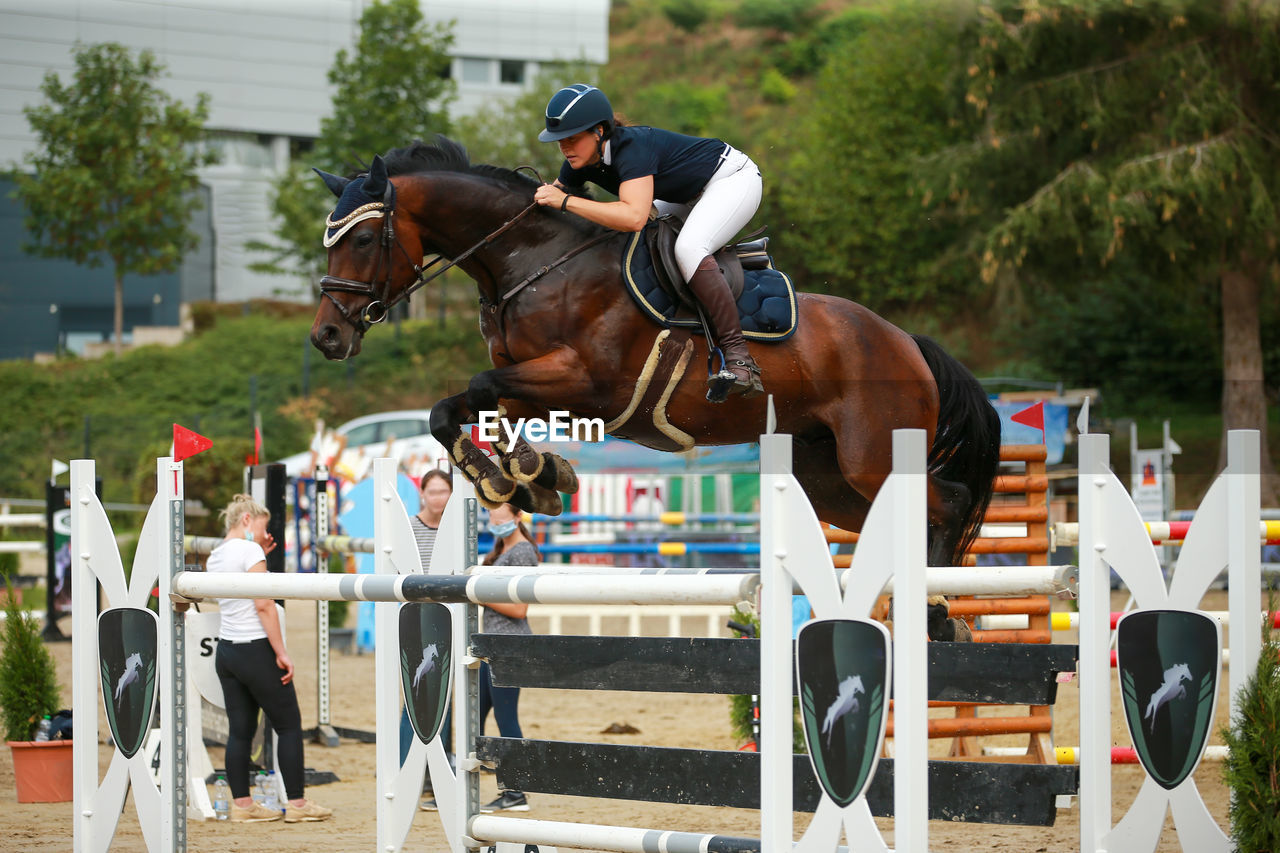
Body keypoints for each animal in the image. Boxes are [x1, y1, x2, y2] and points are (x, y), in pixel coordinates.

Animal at [309, 134, 998, 625]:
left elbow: (477, 388)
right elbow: (457, 409)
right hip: (829, 478)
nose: (326, 337)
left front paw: (517, 474)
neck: (531, 261)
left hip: (871, 455)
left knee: (950, 500)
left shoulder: (587, 381)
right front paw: (530, 478)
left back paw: (939, 608)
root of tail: (907, 342)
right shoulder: (538, 384)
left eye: (363, 239)